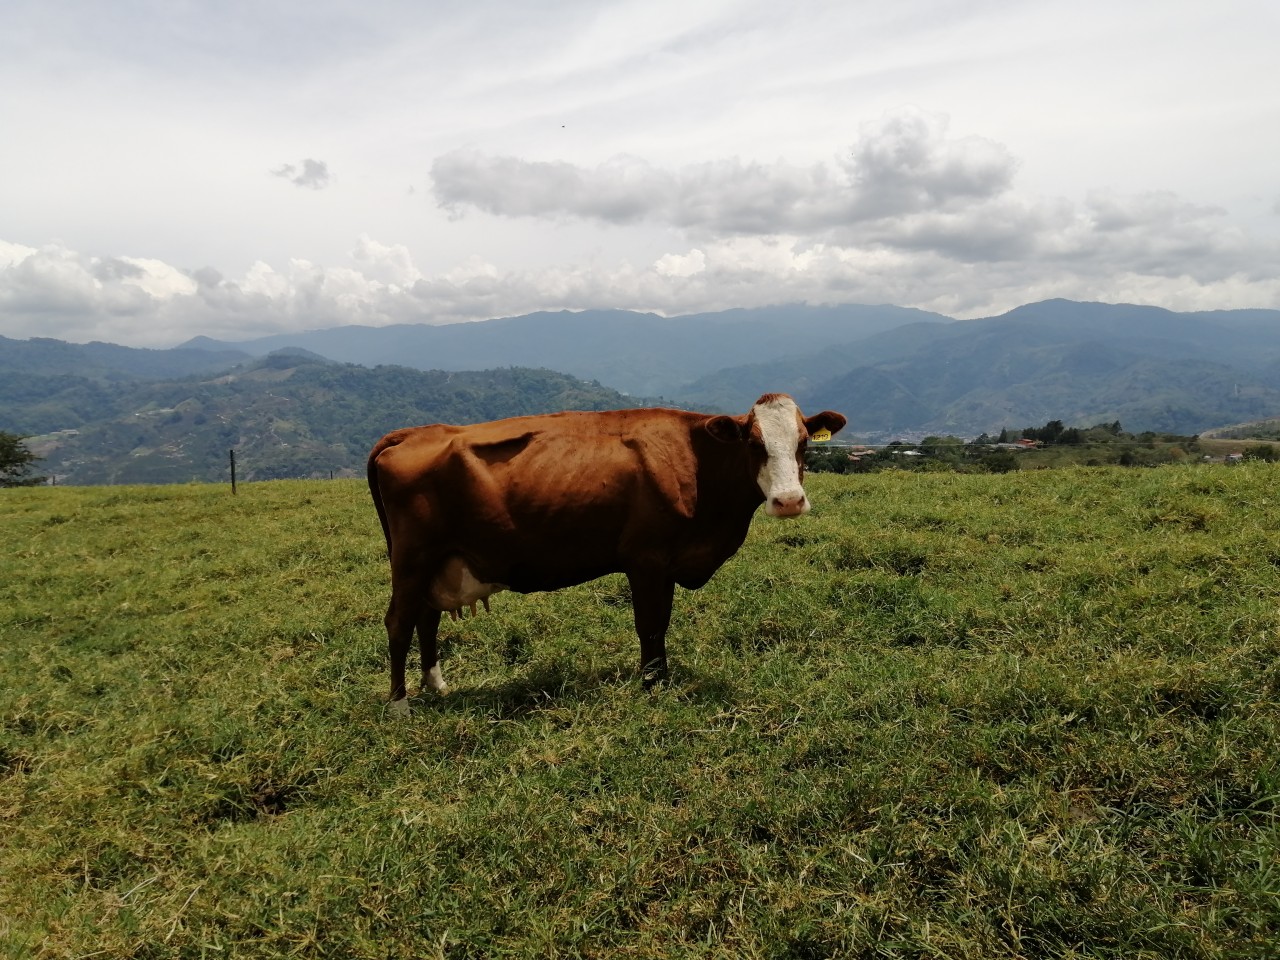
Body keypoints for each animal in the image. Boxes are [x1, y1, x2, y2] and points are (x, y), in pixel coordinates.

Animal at [367, 393, 847, 715]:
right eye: (753, 443)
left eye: (804, 442)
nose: (789, 501)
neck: (695, 463)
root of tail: (412, 433)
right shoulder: (646, 559)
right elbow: (650, 624)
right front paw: (651, 685)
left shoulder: (668, 563)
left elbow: (661, 624)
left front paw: (659, 677)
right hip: (412, 559)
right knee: (399, 622)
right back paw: (399, 706)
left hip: (436, 562)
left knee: (425, 618)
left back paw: (435, 685)